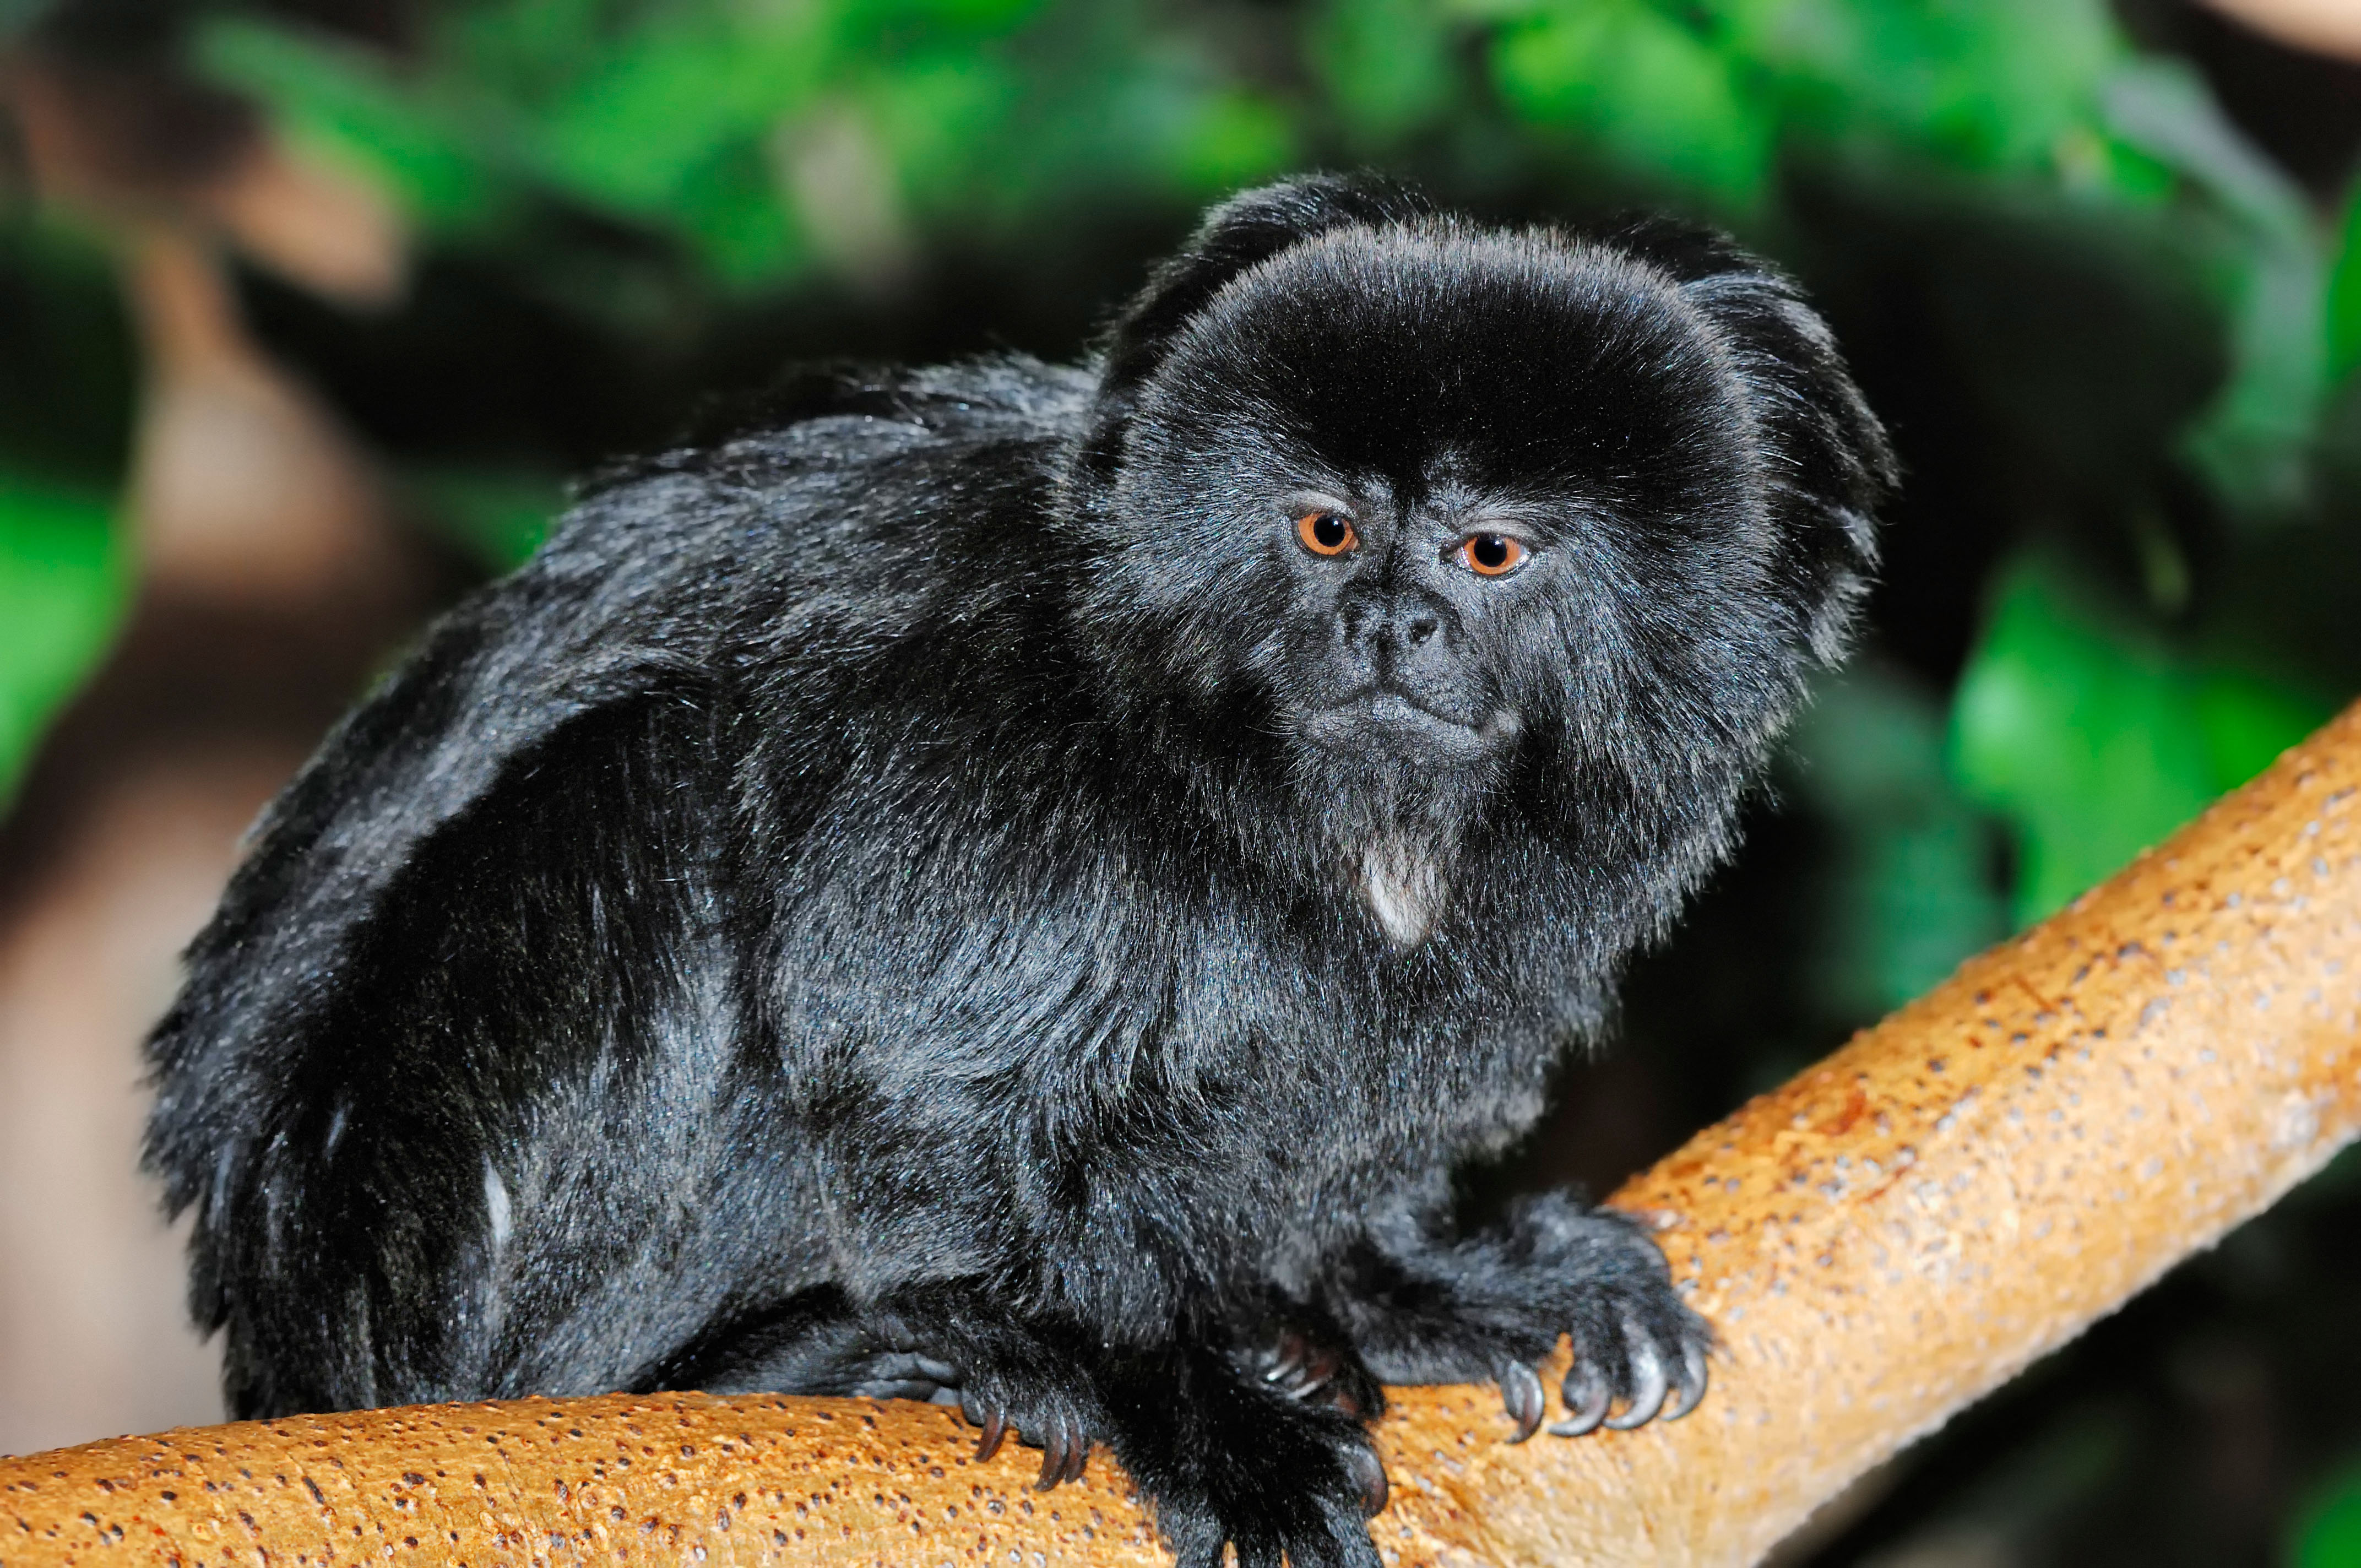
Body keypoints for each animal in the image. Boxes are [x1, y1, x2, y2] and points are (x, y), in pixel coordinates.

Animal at [143, 174, 1892, 1568]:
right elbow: (913, 1078)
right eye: (1327, 531)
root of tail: (285, 1339)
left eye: (1487, 552)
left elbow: (1351, 1125)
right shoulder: (966, 728)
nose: (1385, 622)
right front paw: (1167, 1395)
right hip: (421, 1241)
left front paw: (1410, 1281)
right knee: (653, 776)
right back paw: (764, 1364)